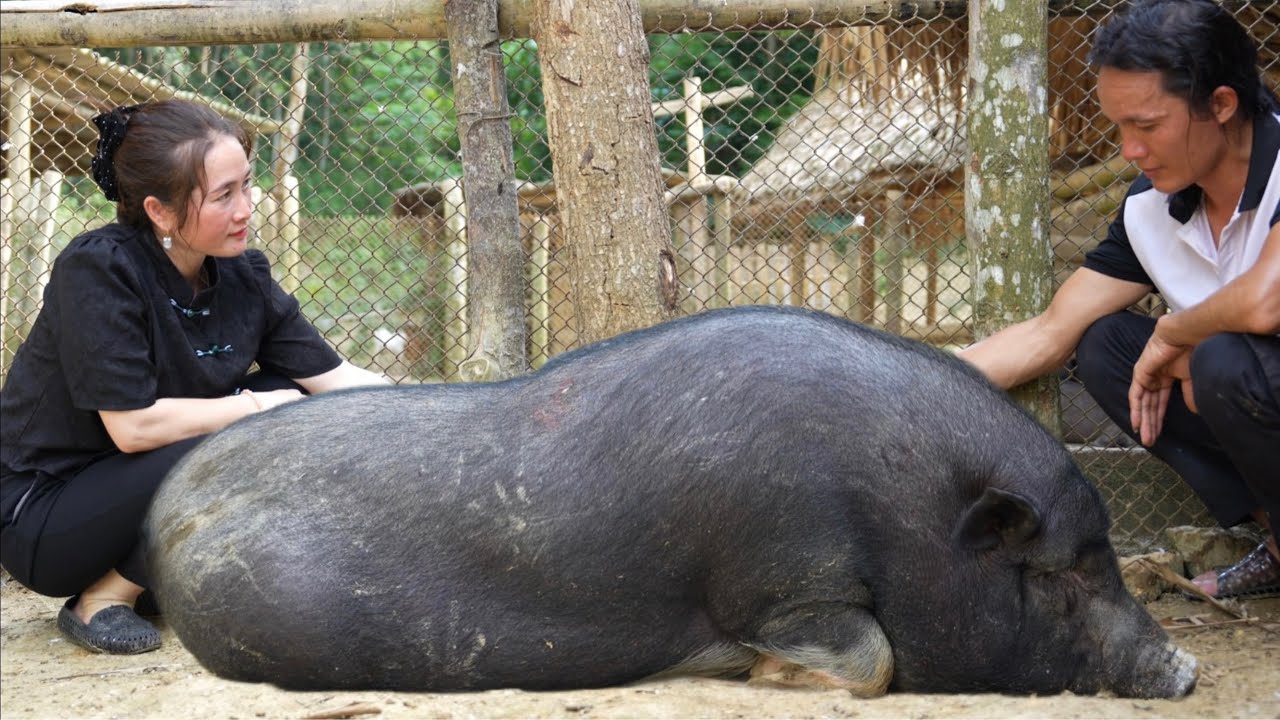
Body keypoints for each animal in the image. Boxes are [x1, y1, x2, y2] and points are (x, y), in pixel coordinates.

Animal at [145, 305, 1197, 698]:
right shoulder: (784, 573)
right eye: (1056, 579)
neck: (907, 510)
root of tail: (164, 516)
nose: (1185, 669)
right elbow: (871, 660)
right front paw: (762, 675)